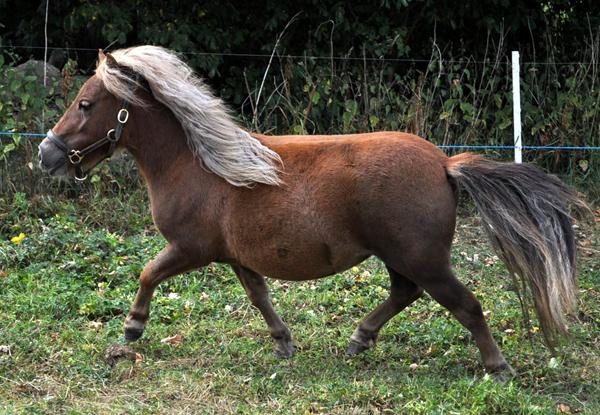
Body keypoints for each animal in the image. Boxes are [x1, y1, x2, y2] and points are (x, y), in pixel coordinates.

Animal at [39, 47, 588, 382]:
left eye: (85, 103)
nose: (45, 155)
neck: (196, 163)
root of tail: (445, 163)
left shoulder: (190, 248)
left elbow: (148, 273)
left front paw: (131, 331)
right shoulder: (236, 256)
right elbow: (259, 296)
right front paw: (283, 344)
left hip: (424, 258)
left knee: (466, 305)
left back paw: (498, 367)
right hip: (402, 257)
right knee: (405, 294)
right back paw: (360, 339)